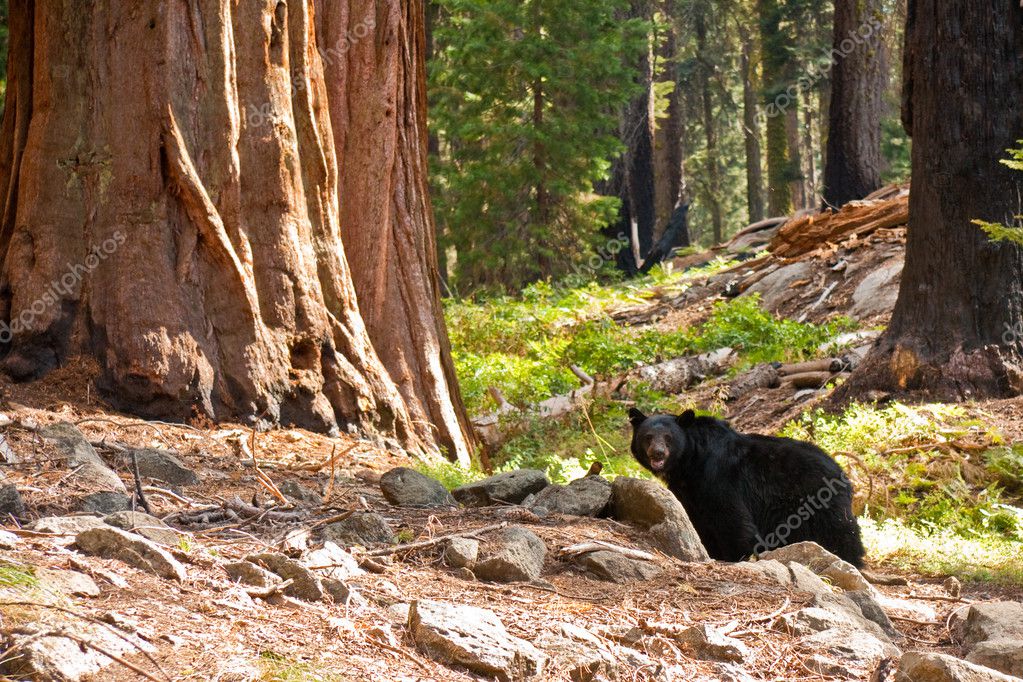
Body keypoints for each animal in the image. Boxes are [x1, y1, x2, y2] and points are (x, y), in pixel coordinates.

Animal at [626, 411, 859, 564]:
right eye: (647, 437)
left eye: (669, 437)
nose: (657, 453)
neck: (689, 462)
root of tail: (843, 473)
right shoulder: (690, 491)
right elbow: (698, 521)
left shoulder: (719, 477)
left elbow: (732, 519)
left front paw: (734, 556)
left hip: (818, 502)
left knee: (840, 534)